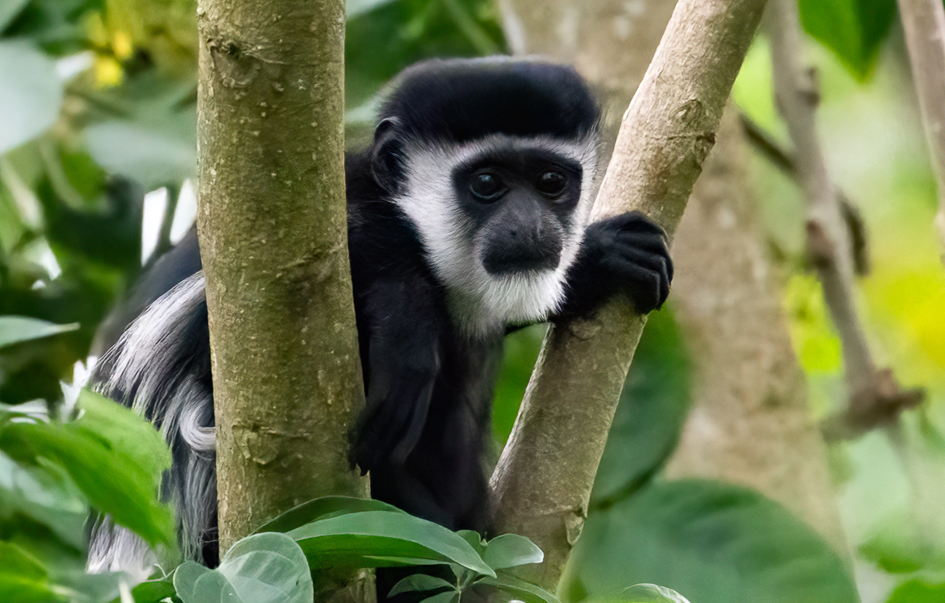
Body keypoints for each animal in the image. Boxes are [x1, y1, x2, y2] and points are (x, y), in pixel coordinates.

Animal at [83, 57, 672, 580]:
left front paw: (600, 259)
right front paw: (404, 315)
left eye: (551, 181)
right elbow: (255, 294)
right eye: (486, 183)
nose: (529, 226)